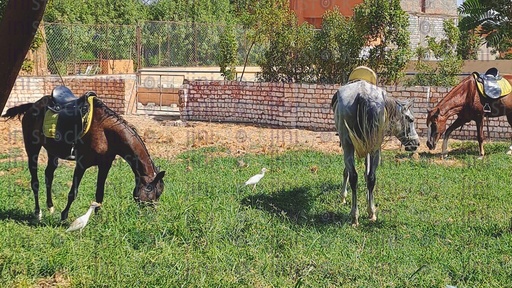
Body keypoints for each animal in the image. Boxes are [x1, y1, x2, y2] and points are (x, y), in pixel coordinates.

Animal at [332, 80, 420, 226]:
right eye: (411, 120)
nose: (417, 143)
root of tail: (362, 94)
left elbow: (354, 173)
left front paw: (345, 196)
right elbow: (362, 174)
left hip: (351, 146)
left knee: (358, 177)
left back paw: (358, 215)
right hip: (369, 147)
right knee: (369, 177)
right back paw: (368, 213)